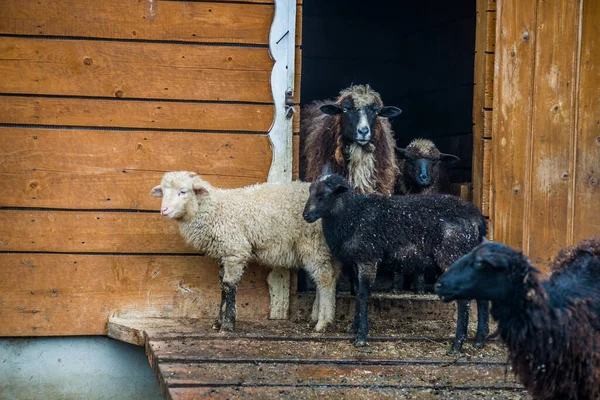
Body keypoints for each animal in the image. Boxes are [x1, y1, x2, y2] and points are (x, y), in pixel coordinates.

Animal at [150, 172, 338, 332]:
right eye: (163, 192)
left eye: (183, 191)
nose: (164, 210)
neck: (214, 209)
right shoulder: (224, 253)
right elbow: (222, 286)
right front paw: (219, 321)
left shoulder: (235, 251)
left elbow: (229, 287)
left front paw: (227, 325)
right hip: (324, 249)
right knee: (328, 278)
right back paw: (317, 317)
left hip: (314, 244)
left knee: (324, 279)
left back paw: (322, 322)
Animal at [302, 166, 490, 350]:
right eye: (310, 191)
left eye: (323, 196)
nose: (306, 216)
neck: (353, 215)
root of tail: (478, 219)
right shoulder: (356, 262)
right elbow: (357, 294)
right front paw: (354, 328)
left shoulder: (368, 258)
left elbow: (363, 295)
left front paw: (361, 336)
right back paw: (479, 340)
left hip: (452, 254)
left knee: (464, 300)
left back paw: (457, 344)